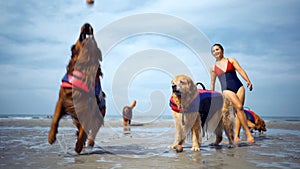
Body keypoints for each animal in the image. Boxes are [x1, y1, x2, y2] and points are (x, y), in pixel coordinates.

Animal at [48, 23, 105, 154]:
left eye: (94, 39)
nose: (87, 25)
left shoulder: (88, 109)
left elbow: (84, 130)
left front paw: (78, 147)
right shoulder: (62, 100)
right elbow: (55, 119)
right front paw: (51, 137)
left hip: (99, 115)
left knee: (93, 132)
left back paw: (89, 143)